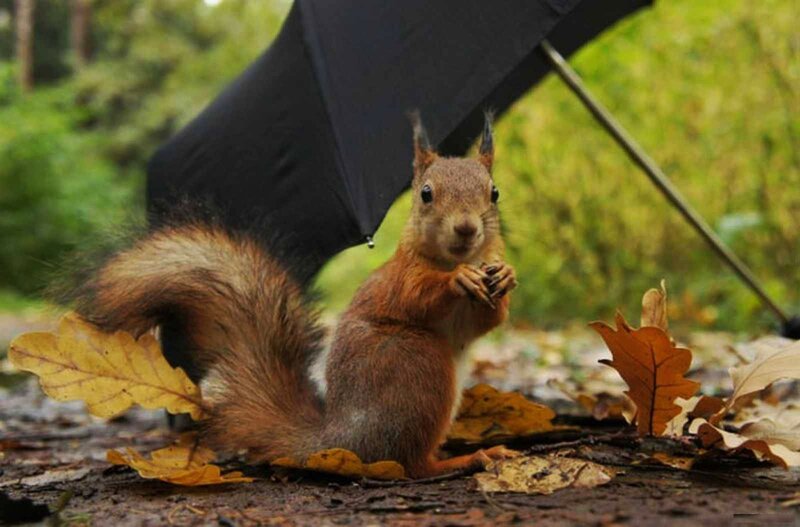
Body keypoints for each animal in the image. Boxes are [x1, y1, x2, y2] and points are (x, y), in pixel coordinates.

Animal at [72, 113, 518, 478]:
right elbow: (416, 296)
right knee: (411, 465)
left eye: (495, 192)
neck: (448, 258)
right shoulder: (399, 279)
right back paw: (465, 459)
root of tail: (343, 440)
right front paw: (456, 279)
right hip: (417, 364)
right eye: (426, 194)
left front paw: (506, 277)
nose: (466, 229)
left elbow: (486, 322)